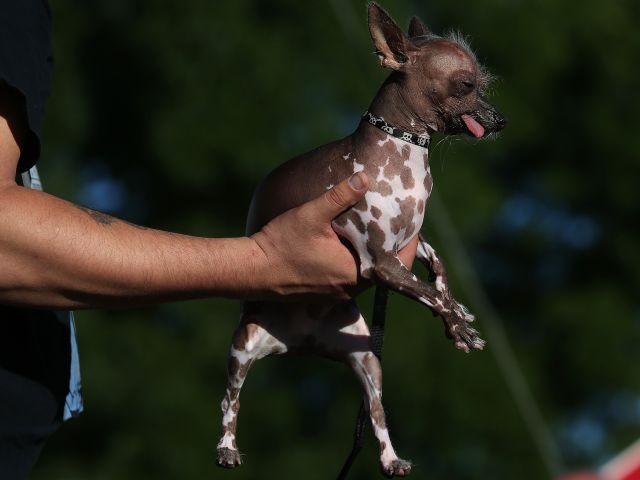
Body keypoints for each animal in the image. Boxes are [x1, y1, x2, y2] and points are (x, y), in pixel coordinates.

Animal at [218, 2, 508, 476]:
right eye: (466, 85)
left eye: (483, 85)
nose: (500, 120)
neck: (405, 152)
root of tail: (298, 343)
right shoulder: (381, 262)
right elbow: (430, 292)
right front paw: (461, 325)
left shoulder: (410, 243)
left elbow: (439, 272)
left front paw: (458, 317)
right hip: (243, 347)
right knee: (231, 399)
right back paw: (226, 447)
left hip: (368, 360)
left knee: (375, 413)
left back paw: (392, 460)